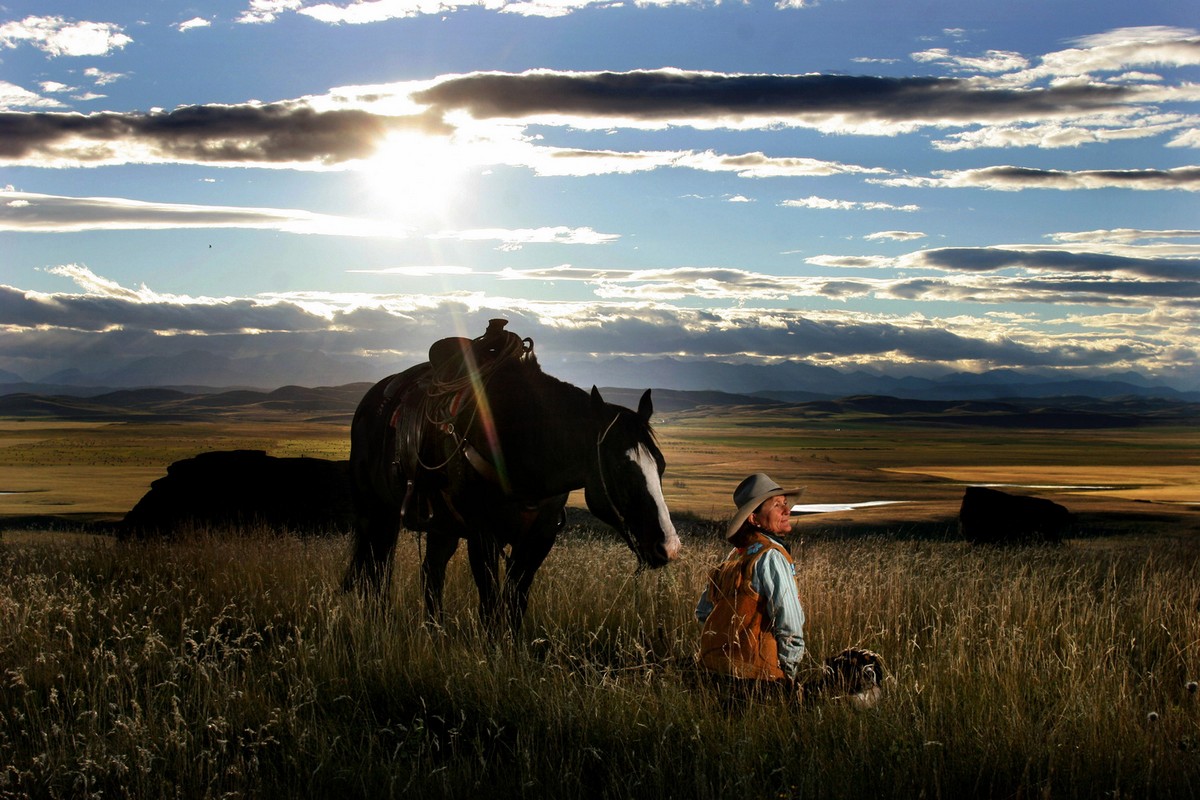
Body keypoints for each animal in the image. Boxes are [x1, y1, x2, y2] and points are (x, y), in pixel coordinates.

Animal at [343, 319, 681, 633]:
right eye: (621, 466)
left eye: (661, 465)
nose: (669, 547)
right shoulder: (482, 535)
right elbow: (491, 608)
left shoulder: (539, 536)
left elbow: (516, 604)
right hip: (378, 514)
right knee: (377, 570)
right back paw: (380, 621)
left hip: (442, 526)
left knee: (431, 571)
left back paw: (434, 631)